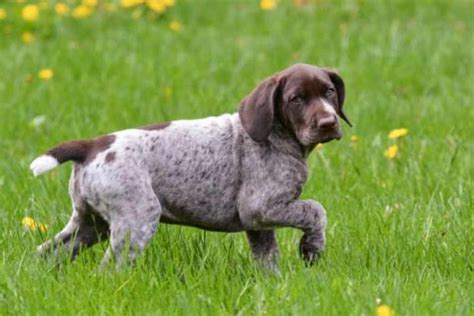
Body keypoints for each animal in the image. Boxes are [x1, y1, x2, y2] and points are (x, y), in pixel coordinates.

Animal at [29, 63, 348, 268]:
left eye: (329, 92)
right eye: (296, 99)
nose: (328, 122)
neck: (276, 136)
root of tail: (93, 145)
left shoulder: (258, 223)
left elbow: (267, 259)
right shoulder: (261, 207)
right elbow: (316, 210)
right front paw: (312, 249)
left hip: (88, 224)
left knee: (47, 253)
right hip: (136, 221)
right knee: (108, 270)